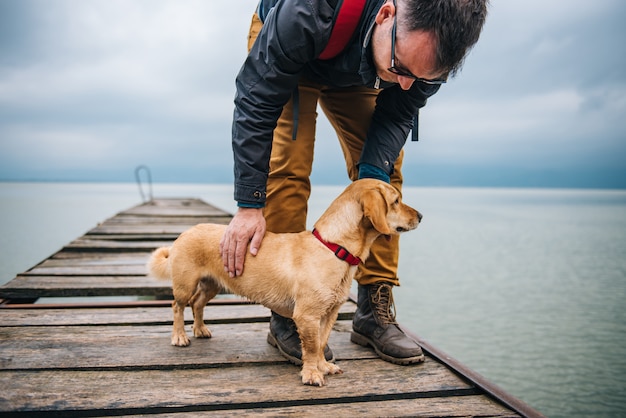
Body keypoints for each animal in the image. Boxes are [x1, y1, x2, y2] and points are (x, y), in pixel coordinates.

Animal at [146, 178, 420, 386]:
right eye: (396, 201)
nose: (421, 215)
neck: (334, 248)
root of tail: (185, 232)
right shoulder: (307, 316)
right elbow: (311, 347)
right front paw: (311, 374)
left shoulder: (329, 314)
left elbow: (321, 343)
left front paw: (324, 366)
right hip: (186, 284)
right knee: (178, 306)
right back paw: (180, 336)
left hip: (212, 285)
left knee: (198, 304)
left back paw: (200, 329)